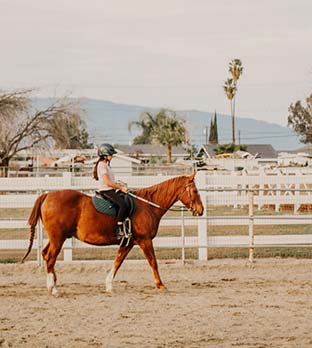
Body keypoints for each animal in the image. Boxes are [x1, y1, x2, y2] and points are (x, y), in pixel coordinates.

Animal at [20, 173, 204, 294]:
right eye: (195, 191)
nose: (201, 210)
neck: (147, 206)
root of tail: (47, 195)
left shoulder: (128, 242)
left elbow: (118, 261)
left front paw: (108, 285)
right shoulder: (145, 240)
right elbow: (153, 262)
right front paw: (161, 285)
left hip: (57, 238)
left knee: (46, 255)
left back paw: (52, 284)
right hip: (58, 239)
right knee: (51, 258)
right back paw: (54, 289)